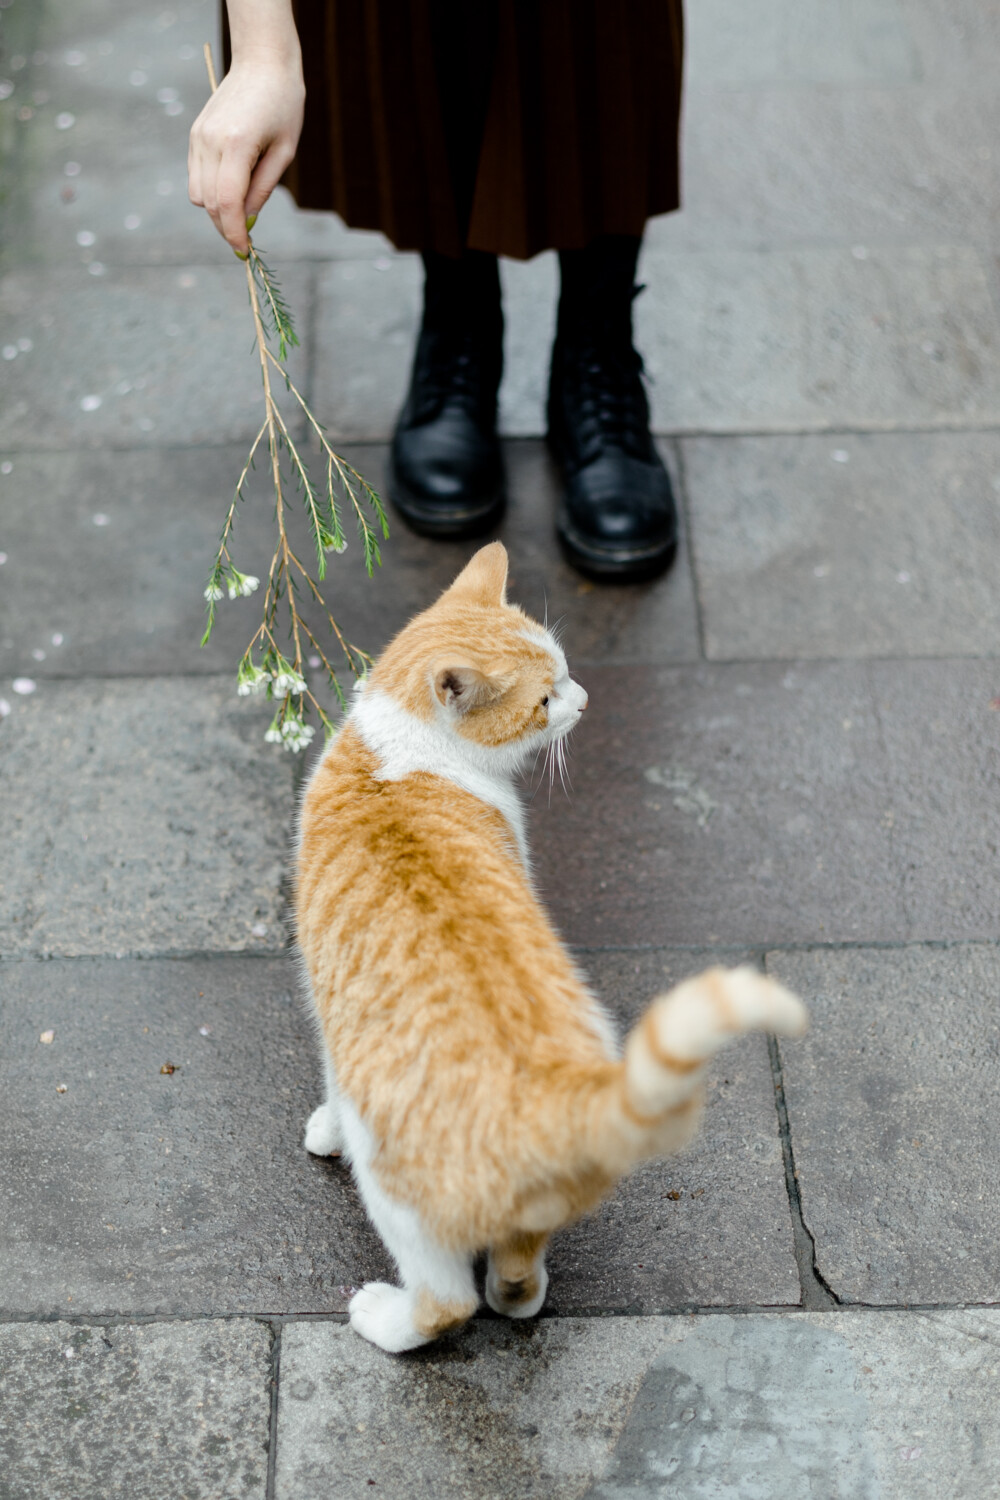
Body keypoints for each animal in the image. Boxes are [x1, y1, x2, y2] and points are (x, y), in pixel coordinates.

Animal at [295, 546, 803, 1356]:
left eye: (565, 678)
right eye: (545, 698)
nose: (587, 701)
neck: (397, 750)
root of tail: (555, 1097)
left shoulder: (328, 1008)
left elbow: (334, 1082)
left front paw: (327, 1128)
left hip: (399, 1196)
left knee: (446, 1302)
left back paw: (385, 1316)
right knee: (515, 1268)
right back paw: (519, 1294)